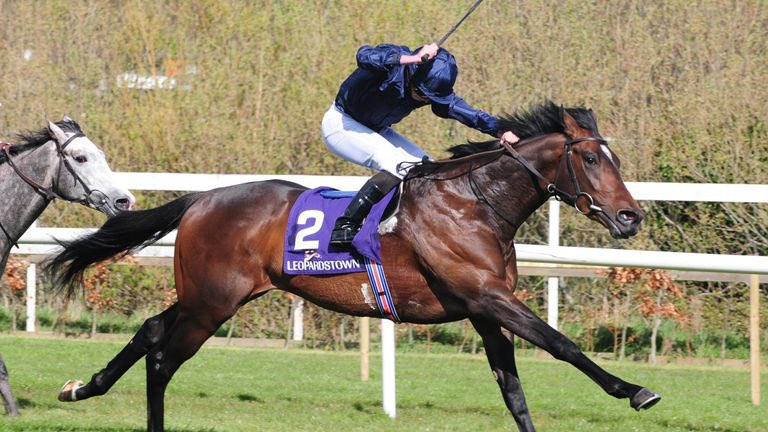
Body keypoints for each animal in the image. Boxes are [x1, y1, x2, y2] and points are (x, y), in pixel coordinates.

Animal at [46, 101, 660, 432]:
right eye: (589, 158)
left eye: (613, 158)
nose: (630, 216)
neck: (474, 203)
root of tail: (202, 199)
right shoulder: (487, 296)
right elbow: (561, 344)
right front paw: (635, 391)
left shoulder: (485, 310)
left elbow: (512, 388)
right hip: (212, 303)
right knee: (162, 359)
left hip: (211, 295)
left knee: (151, 330)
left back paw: (83, 388)